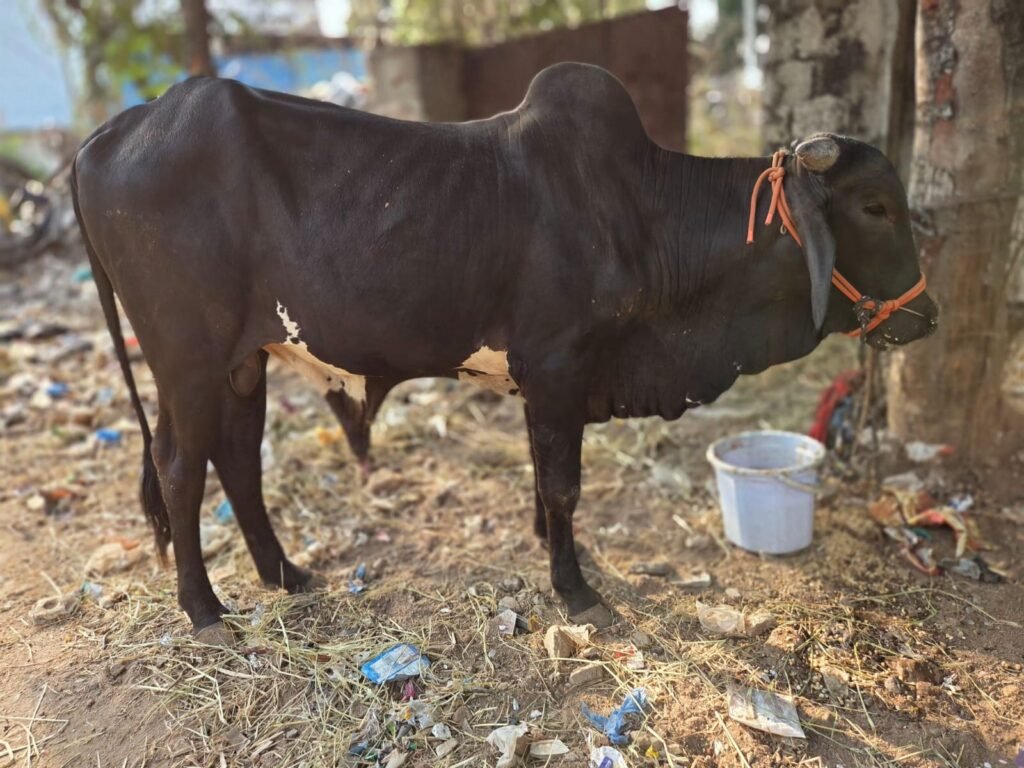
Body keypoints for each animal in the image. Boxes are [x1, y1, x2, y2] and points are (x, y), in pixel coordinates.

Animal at [71, 63, 937, 642]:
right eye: (874, 206)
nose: (926, 315)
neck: (643, 215)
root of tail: (111, 133)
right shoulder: (557, 367)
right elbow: (563, 486)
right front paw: (574, 588)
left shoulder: (544, 382)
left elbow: (541, 478)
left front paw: (551, 552)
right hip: (185, 362)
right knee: (181, 471)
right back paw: (205, 610)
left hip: (242, 362)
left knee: (238, 464)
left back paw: (284, 575)